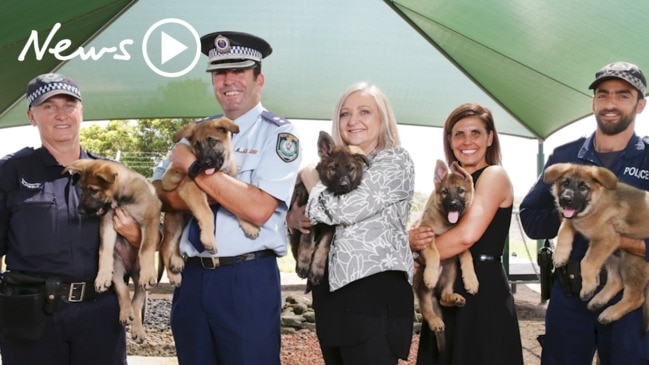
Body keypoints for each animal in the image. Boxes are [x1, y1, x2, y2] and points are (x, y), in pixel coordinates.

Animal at [64, 159, 162, 342]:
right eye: (81, 188)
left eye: (94, 190)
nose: (79, 211)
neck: (122, 199)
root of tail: (129, 270)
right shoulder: (108, 222)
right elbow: (104, 250)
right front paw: (101, 276)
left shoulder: (151, 219)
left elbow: (145, 248)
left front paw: (148, 273)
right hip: (117, 265)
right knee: (123, 289)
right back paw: (125, 313)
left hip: (139, 280)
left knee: (137, 301)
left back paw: (137, 328)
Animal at [159, 118, 258, 286]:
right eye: (197, 145)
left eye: (213, 141)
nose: (204, 162)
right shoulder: (188, 187)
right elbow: (207, 214)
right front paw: (208, 240)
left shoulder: (227, 191)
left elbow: (238, 206)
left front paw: (249, 225)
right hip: (175, 222)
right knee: (166, 246)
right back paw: (173, 275)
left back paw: (177, 261)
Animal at [288, 131, 370, 290]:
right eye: (334, 168)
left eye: (350, 168)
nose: (344, 185)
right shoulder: (306, 218)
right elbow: (307, 241)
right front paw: (304, 264)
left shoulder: (331, 228)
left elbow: (323, 247)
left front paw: (316, 271)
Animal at [416, 159, 476, 346]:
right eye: (444, 192)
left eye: (461, 191)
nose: (453, 204)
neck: (446, 223)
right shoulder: (425, 235)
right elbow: (434, 251)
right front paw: (431, 275)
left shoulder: (459, 239)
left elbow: (467, 254)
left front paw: (472, 280)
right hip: (420, 283)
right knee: (426, 309)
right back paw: (435, 321)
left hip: (451, 270)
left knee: (443, 297)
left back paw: (455, 298)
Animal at [544, 163, 648, 330]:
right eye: (565, 183)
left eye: (583, 187)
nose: (565, 200)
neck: (596, 205)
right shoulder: (578, 223)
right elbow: (564, 228)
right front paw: (560, 255)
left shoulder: (606, 239)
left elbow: (586, 263)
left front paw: (588, 287)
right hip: (613, 255)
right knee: (617, 280)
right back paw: (598, 301)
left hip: (632, 260)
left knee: (636, 297)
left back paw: (610, 313)